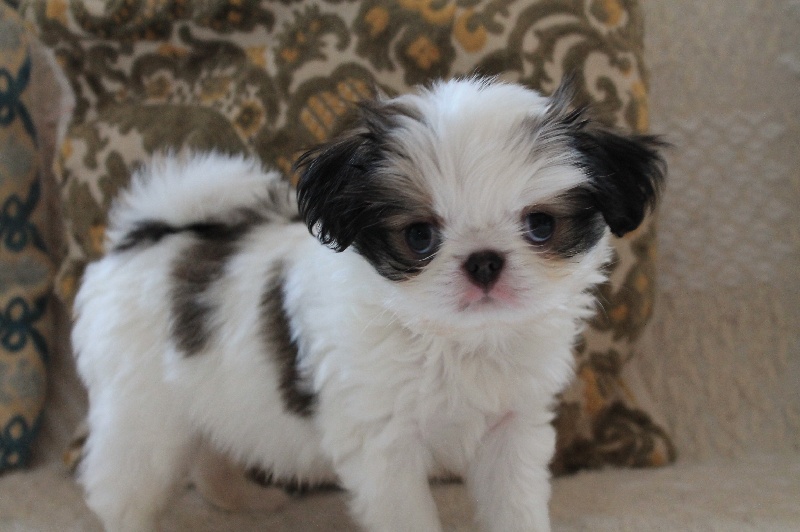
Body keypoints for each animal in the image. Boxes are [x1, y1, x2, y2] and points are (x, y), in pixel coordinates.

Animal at [72, 76, 665, 532]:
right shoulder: (385, 447)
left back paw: (246, 501)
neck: (450, 340)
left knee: (212, 452)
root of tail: (142, 238)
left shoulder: (511, 428)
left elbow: (514, 506)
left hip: (215, 394)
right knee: (123, 484)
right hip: (144, 410)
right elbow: (408, 515)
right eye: (419, 236)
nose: (484, 261)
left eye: (540, 225)